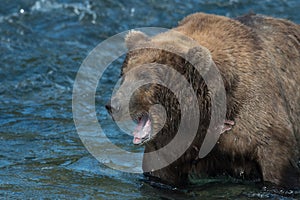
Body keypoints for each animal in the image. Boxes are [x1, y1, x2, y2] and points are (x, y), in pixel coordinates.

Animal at [106, 12, 300, 189]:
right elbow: (161, 171)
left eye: (144, 78)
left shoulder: (258, 122)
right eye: (124, 75)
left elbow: (276, 165)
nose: (113, 106)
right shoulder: (172, 140)